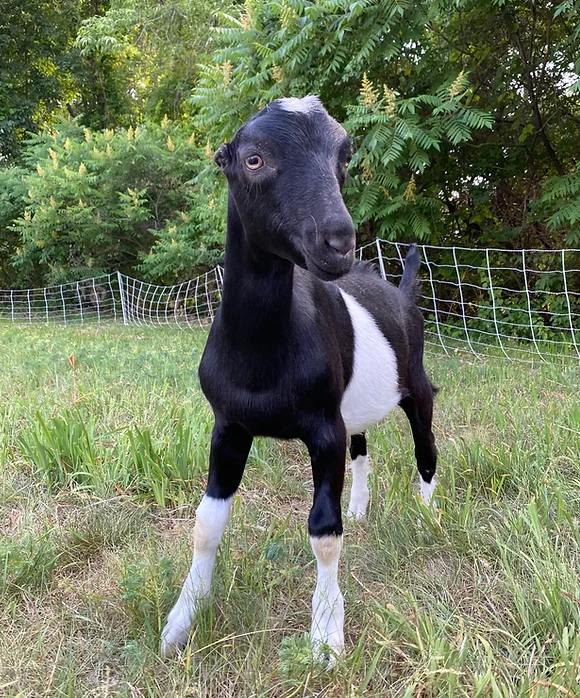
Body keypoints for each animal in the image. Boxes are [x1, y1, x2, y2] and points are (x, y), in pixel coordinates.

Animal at [161, 95, 438, 660]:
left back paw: (428, 519)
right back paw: (361, 509)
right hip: (352, 408)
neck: (264, 357)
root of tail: (400, 293)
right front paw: (181, 621)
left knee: (426, 444)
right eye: (253, 159)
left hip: (415, 384)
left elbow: (323, 530)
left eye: (344, 156)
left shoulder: (322, 428)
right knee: (362, 449)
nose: (337, 241)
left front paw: (326, 634)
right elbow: (206, 524)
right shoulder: (229, 426)